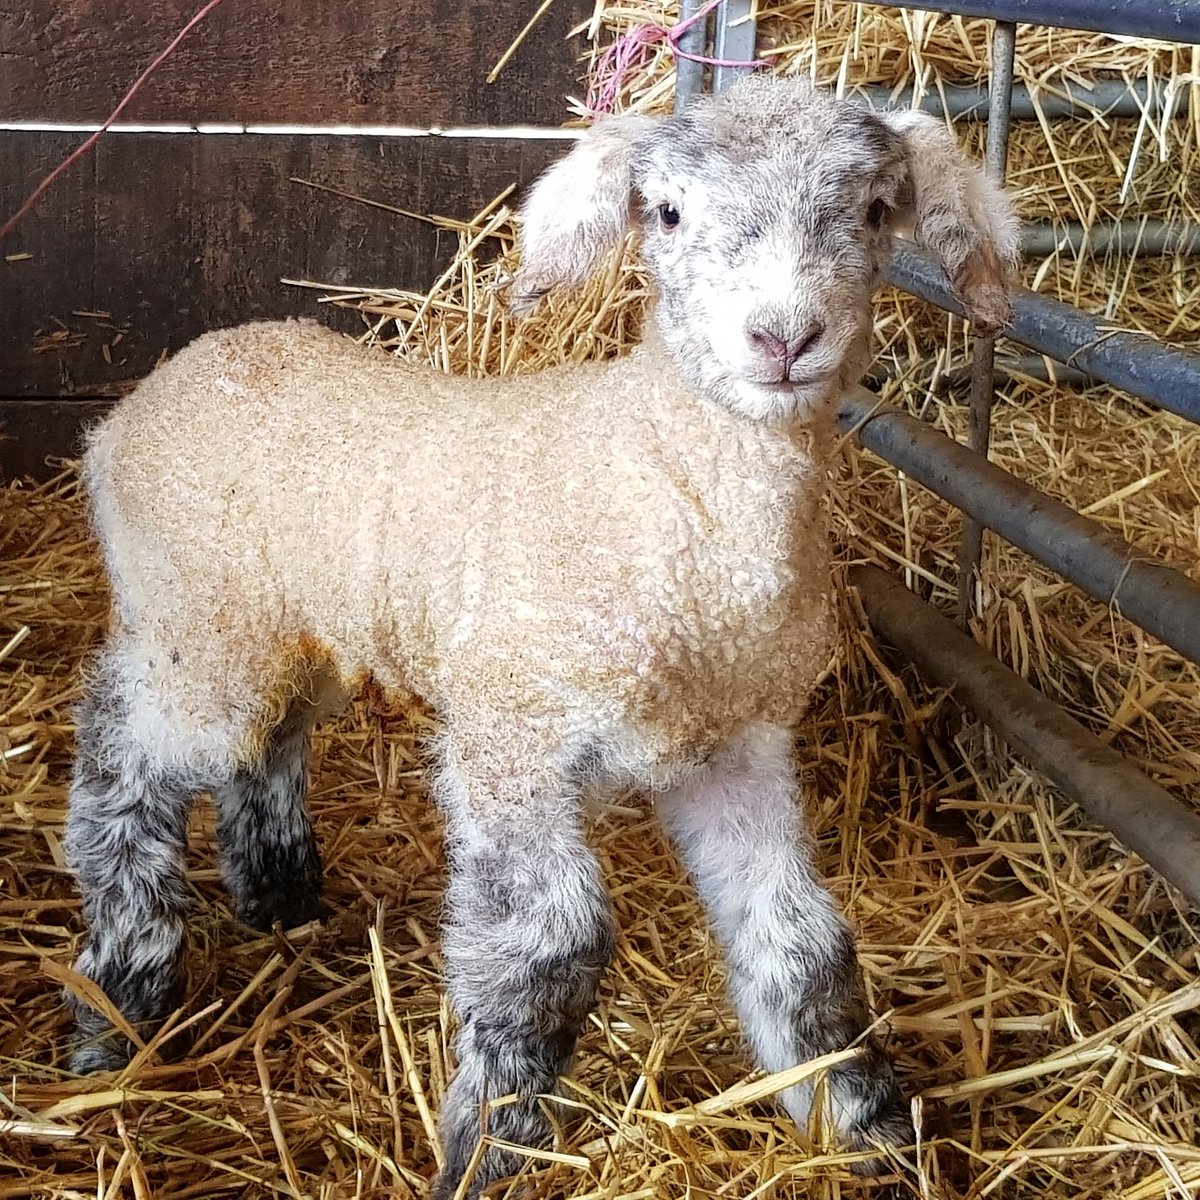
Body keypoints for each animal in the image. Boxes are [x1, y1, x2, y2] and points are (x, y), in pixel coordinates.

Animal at [63, 74, 1018, 1197]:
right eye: (669, 213)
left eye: (871, 212)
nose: (784, 339)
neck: (657, 480)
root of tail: (136, 404)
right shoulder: (510, 739)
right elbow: (551, 946)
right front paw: (489, 1147)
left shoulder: (735, 747)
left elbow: (802, 938)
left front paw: (863, 1125)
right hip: (195, 622)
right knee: (124, 756)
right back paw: (118, 1001)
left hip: (302, 625)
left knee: (272, 736)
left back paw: (278, 891)